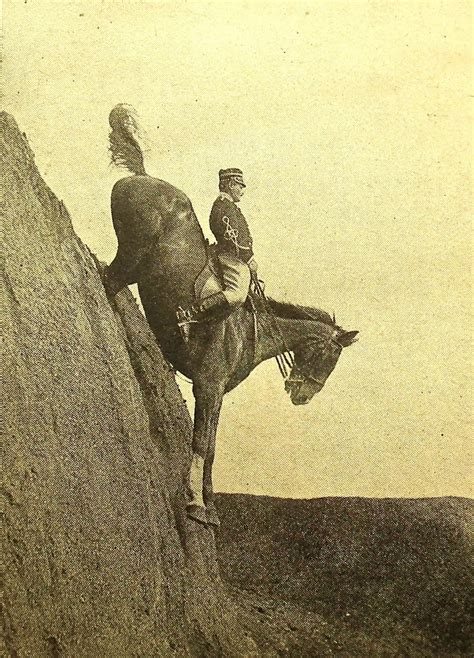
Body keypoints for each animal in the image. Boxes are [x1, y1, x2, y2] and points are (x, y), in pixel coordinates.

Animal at [103, 104, 356, 524]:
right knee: (108, 278)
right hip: (131, 253)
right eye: (331, 356)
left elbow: (212, 449)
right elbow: (201, 443)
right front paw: (194, 503)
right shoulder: (207, 384)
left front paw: (210, 506)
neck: (251, 329)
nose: (303, 396)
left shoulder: (217, 391)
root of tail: (142, 176)